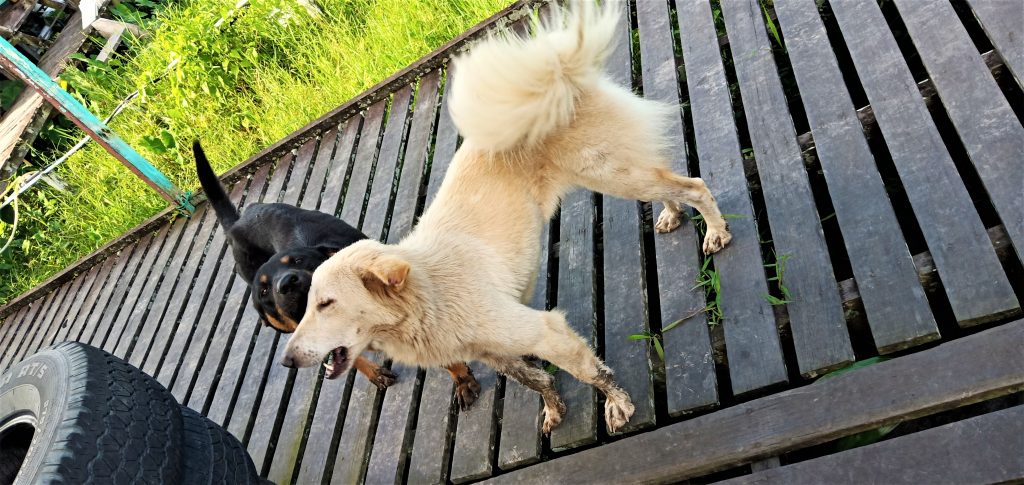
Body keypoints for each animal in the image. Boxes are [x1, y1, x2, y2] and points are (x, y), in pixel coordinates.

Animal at [281, 0, 732, 434]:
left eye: (326, 303)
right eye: (304, 306)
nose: (287, 360)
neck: (428, 292)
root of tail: (558, 72)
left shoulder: (542, 329)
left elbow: (591, 372)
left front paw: (617, 406)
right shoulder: (492, 352)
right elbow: (535, 380)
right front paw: (554, 410)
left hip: (611, 173)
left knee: (693, 185)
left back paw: (715, 233)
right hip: (620, 172)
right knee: (669, 184)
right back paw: (672, 215)